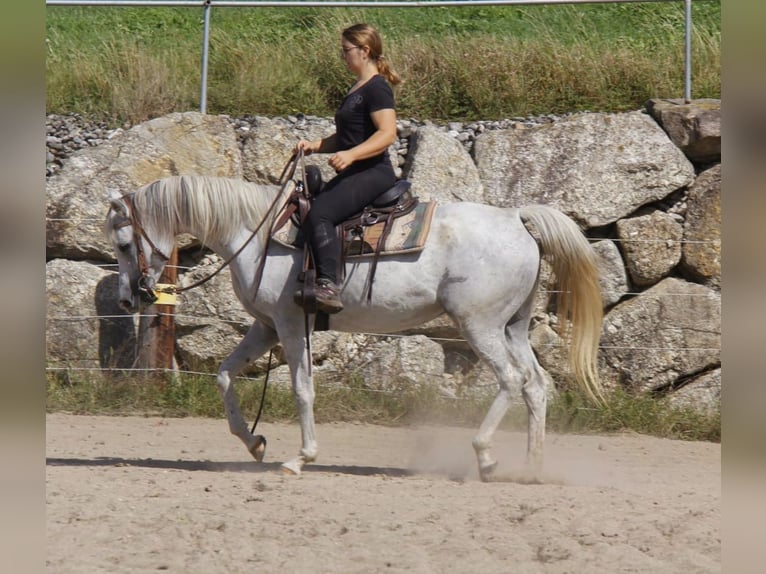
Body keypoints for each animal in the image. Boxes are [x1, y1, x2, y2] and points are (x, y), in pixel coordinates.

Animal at [105, 173, 603, 481]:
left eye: (125, 243)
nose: (130, 299)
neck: (257, 234)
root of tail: (516, 218)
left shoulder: (291, 324)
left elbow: (302, 390)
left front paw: (300, 458)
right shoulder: (266, 326)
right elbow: (225, 375)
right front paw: (255, 443)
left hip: (479, 325)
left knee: (511, 380)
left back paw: (484, 456)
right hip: (511, 327)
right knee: (535, 384)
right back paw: (532, 467)